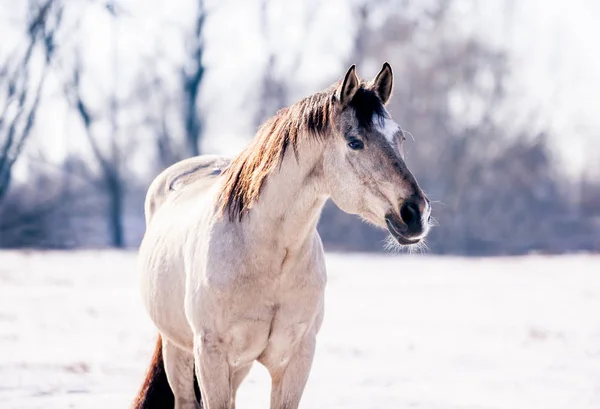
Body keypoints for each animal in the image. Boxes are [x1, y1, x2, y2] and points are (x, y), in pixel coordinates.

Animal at [132, 63, 432, 408]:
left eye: (400, 138)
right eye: (355, 142)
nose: (416, 213)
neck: (265, 254)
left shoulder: (296, 358)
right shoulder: (211, 355)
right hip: (178, 349)